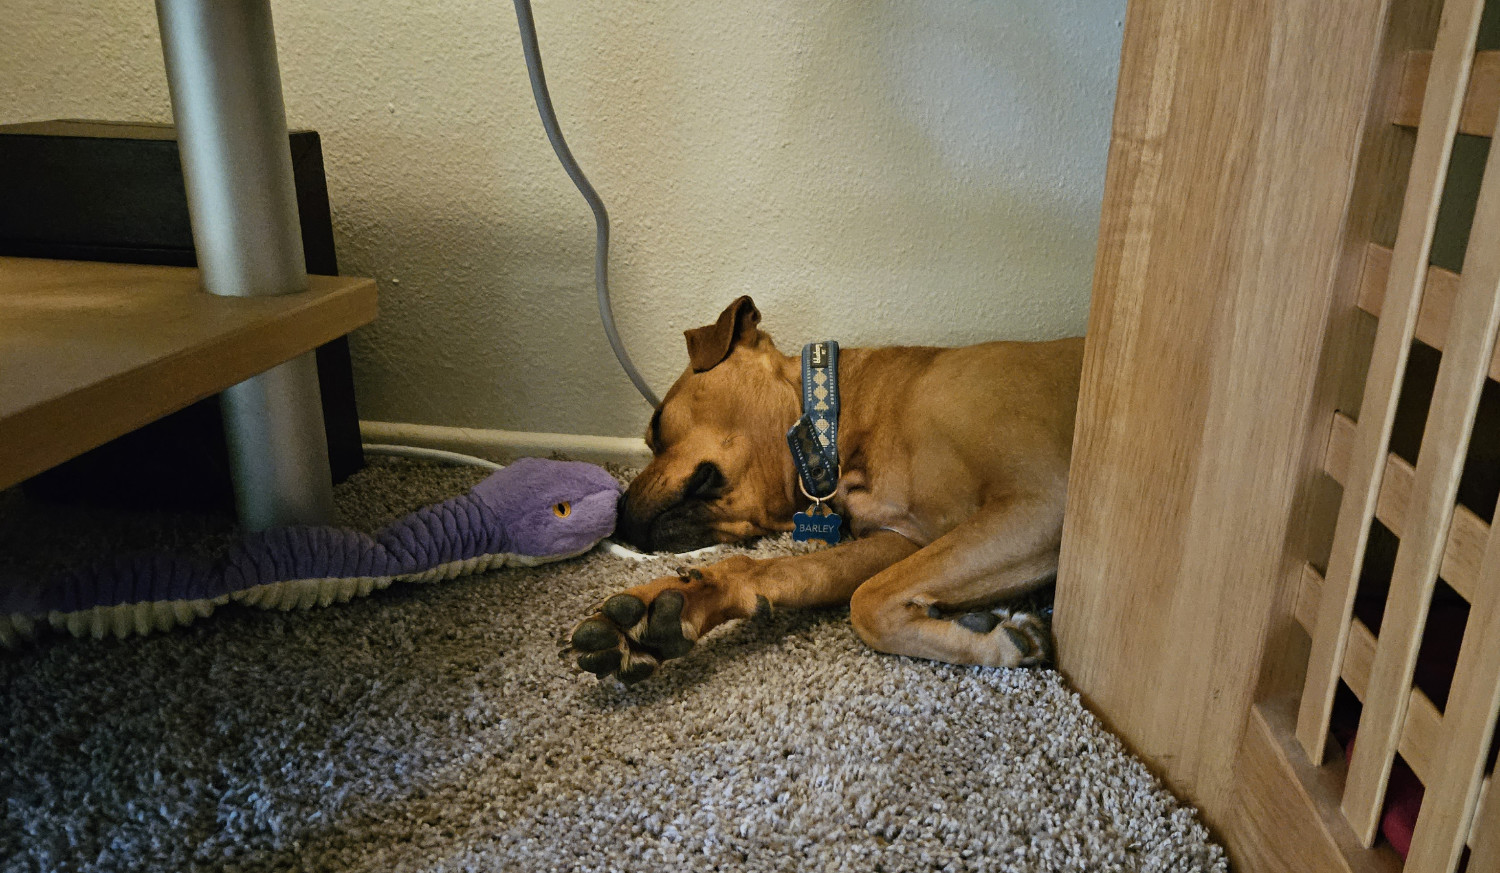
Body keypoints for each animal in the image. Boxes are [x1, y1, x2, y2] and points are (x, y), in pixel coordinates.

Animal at [567, 300, 1086, 684]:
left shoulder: (1043, 501)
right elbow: (781, 572)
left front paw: (993, 639)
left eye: (656, 426)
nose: (616, 514)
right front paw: (675, 604)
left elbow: (868, 603)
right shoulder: (901, 541)